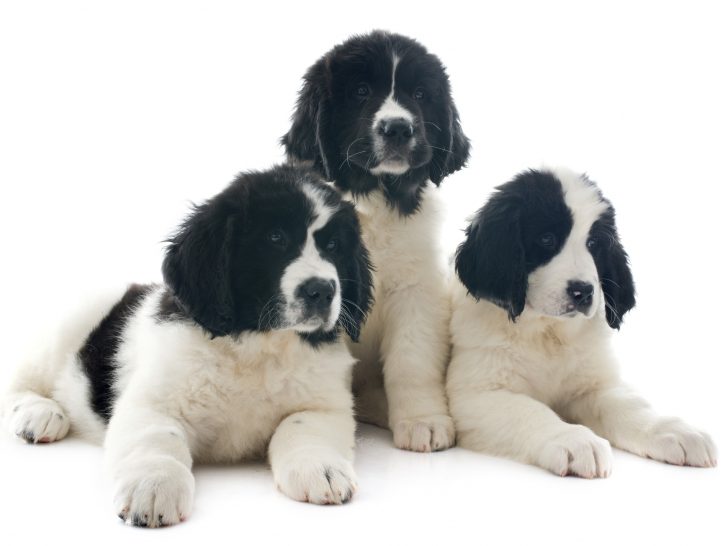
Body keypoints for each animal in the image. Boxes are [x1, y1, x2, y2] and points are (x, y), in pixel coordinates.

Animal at [2, 165, 372, 524]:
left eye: (334, 246)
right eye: (275, 238)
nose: (322, 291)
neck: (259, 343)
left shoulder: (325, 403)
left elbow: (303, 426)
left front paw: (321, 468)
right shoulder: (153, 401)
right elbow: (158, 439)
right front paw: (153, 486)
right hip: (68, 327)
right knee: (19, 382)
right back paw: (39, 414)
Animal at [282, 29, 470, 450]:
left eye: (420, 94)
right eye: (361, 91)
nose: (397, 128)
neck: (376, 200)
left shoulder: (416, 292)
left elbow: (412, 361)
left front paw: (423, 420)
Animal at [450, 167, 716, 476]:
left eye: (593, 244)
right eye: (546, 239)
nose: (583, 292)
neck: (547, 332)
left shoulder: (592, 386)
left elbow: (627, 404)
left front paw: (673, 429)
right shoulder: (475, 394)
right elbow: (528, 411)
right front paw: (574, 439)